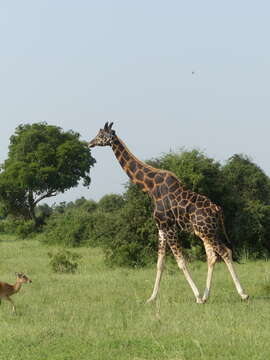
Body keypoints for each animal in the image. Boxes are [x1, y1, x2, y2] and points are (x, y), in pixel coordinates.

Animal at [89, 122, 249, 302]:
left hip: (207, 231)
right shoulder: (161, 228)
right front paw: (151, 298)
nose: (90, 143)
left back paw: (242, 294)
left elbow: (181, 262)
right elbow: (160, 264)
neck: (150, 188)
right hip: (205, 231)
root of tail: (217, 209)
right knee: (212, 256)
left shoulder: (170, 228)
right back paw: (207, 296)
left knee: (225, 252)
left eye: (101, 135)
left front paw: (197, 296)